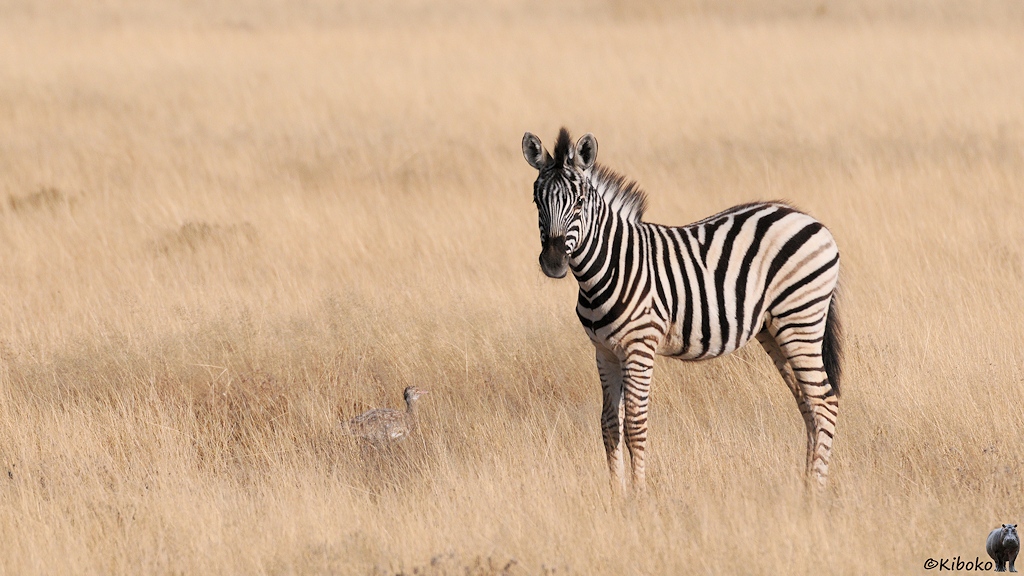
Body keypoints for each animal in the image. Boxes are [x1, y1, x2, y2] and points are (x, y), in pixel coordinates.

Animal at [522, 128, 842, 493]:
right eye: (537, 201)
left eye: (579, 202)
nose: (553, 263)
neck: (611, 265)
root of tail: (812, 221)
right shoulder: (604, 351)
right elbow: (609, 424)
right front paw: (616, 495)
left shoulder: (639, 347)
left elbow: (635, 425)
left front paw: (639, 495)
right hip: (774, 329)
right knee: (808, 404)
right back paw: (805, 486)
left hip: (801, 319)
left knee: (824, 403)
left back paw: (814, 492)